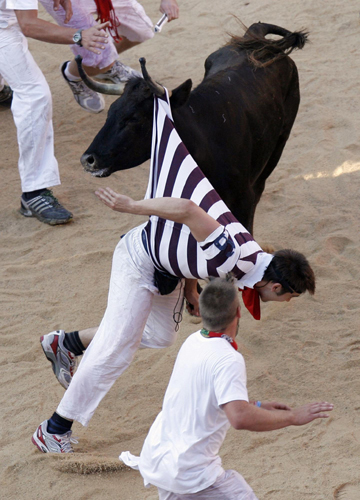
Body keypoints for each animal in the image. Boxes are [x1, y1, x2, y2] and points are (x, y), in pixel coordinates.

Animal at [78, 22, 306, 233]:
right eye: (110, 112)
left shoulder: (243, 202)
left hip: (280, 142)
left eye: (133, 118)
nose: (88, 159)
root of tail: (256, 39)